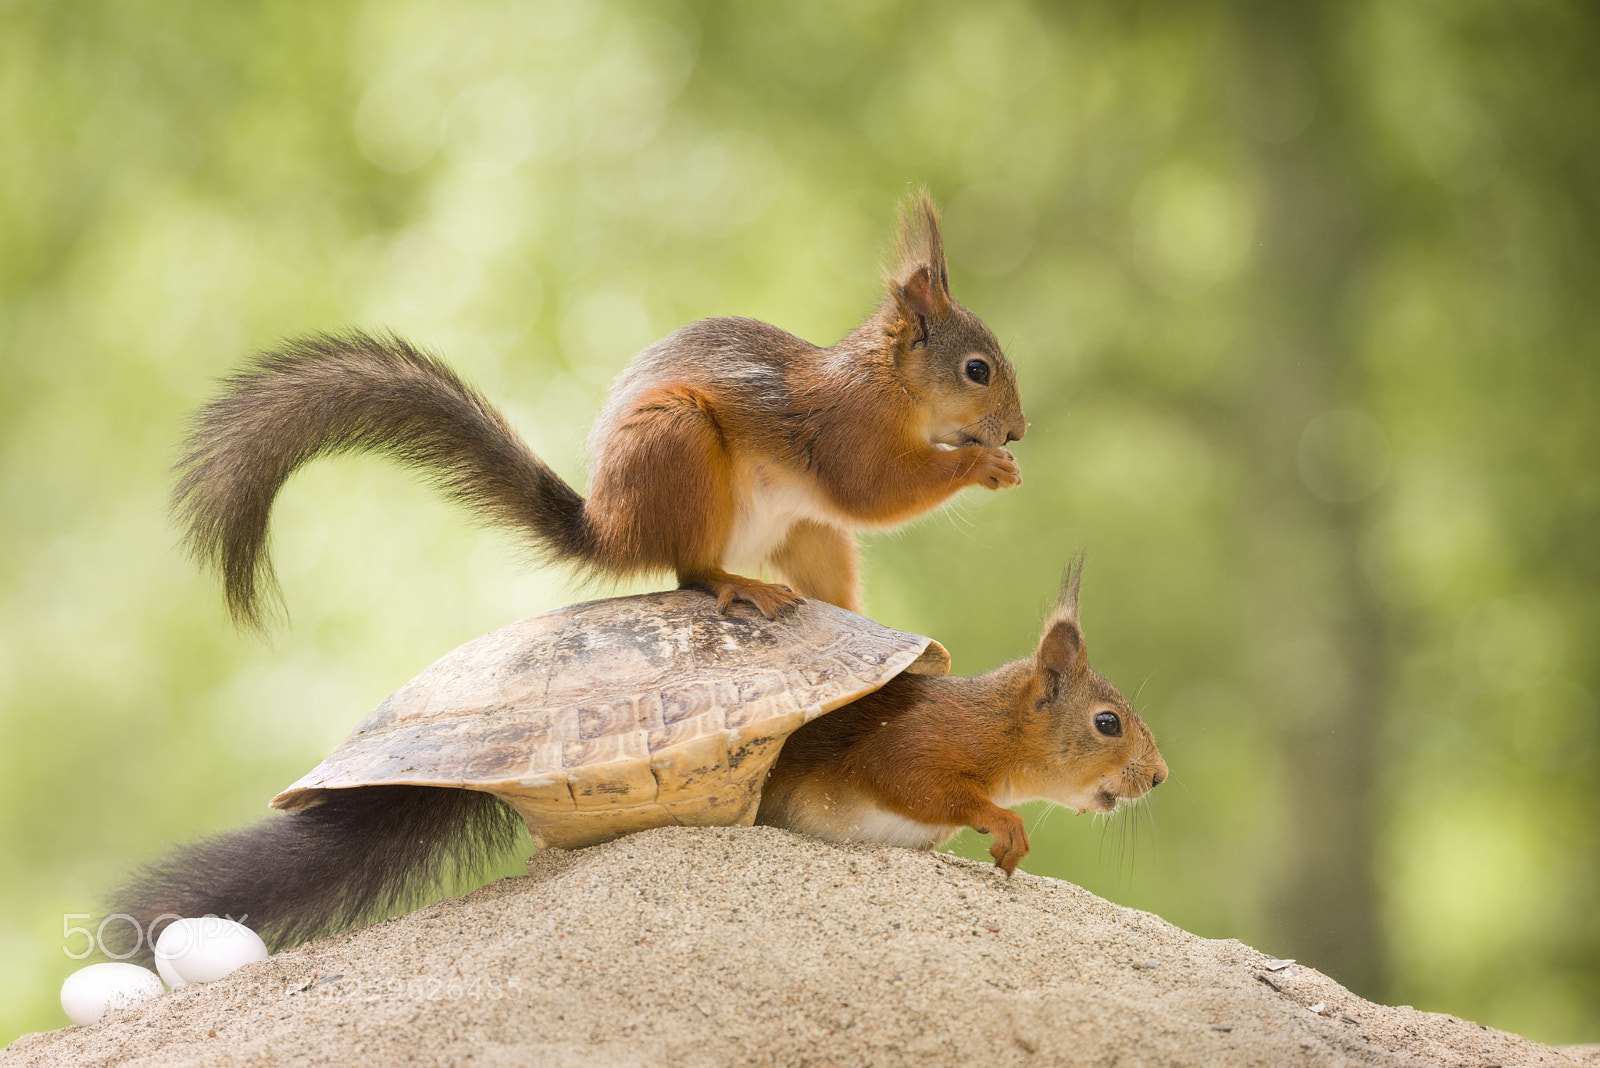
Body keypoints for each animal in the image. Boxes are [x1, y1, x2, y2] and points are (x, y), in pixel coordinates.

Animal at [103, 562, 1163, 962]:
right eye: (1109, 722)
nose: (1157, 780)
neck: (984, 721)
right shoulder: (907, 748)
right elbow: (932, 788)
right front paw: (1008, 831)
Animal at [175, 192, 1026, 627]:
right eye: (977, 369)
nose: (1019, 430)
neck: (891, 387)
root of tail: (615, 530)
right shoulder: (846, 430)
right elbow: (875, 492)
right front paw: (983, 464)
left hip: (803, 530)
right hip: (679, 448)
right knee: (689, 571)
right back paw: (738, 586)